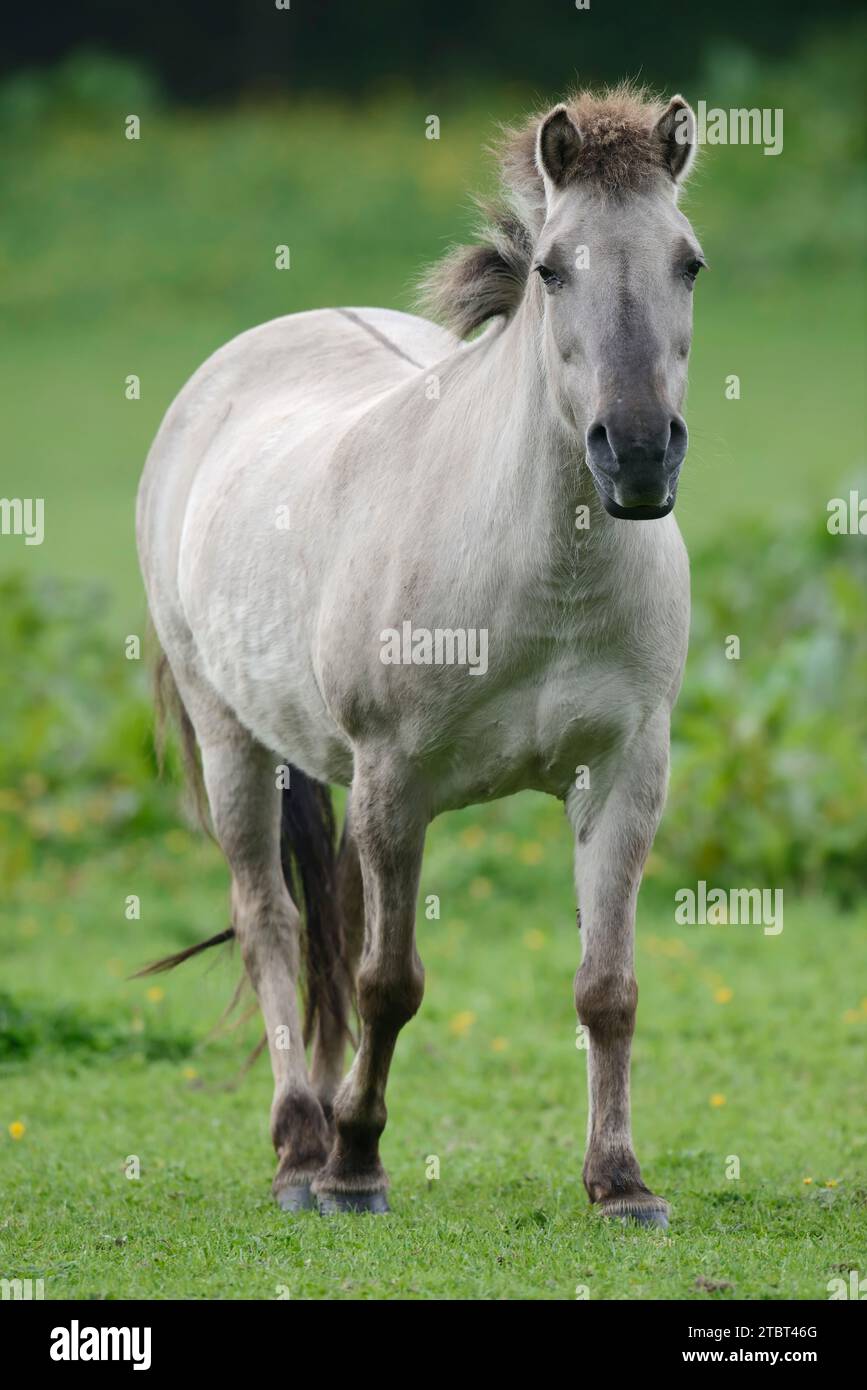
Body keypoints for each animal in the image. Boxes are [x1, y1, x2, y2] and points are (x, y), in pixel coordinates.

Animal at [136, 84, 705, 1228]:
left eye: (690, 263)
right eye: (553, 268)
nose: (634, 452)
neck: (542, 579)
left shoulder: (625, 772)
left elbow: (607, 988)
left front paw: (620, 1182)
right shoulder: (396, 781)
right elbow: (388, 983)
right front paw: (356, 1165)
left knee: (325, 925)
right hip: (234, 743)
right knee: (271, 922)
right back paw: (300, 1148)